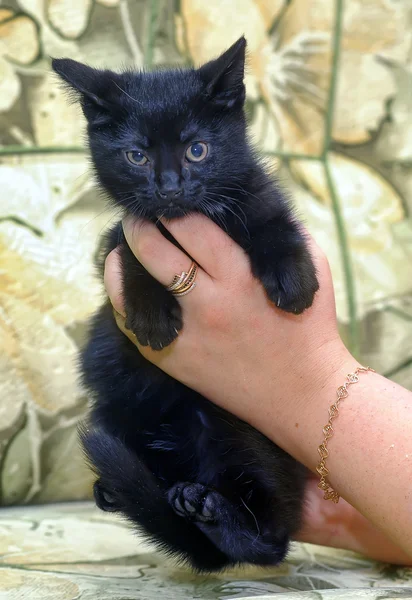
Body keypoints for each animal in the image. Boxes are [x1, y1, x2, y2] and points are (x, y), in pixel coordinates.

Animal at [53, 36, 318, 572]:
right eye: (136, 156)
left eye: (197, 150)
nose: (170, 186)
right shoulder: (121, 236)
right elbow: (130, 253)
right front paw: (152, 317)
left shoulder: (254, 195)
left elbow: (274, 222)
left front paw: (295, 278)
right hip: (113, 397)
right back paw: (138, 494)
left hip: (240, 422)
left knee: (274, 537)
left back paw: (215, 514)